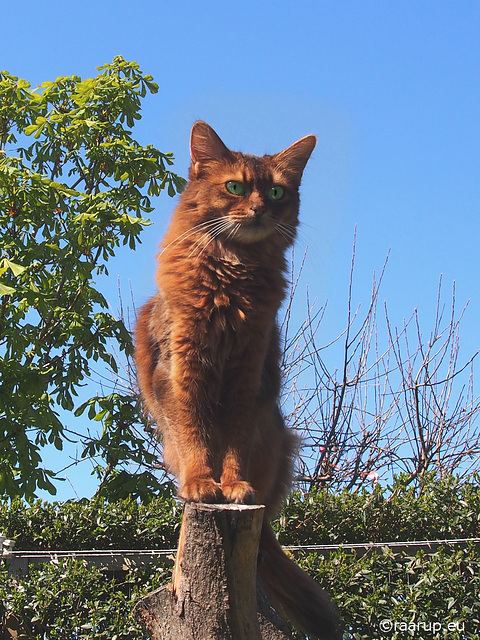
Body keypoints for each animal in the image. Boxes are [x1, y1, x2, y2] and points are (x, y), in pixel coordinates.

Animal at [135, 121, 344, 640]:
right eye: (234, 187)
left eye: (276, 192)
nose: (258, 209)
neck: (232, 276)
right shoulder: (183, 370)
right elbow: (196, 435)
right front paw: (201, 483)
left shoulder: (248, 377)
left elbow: (231, 440)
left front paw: (232, 484)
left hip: (276, 435)